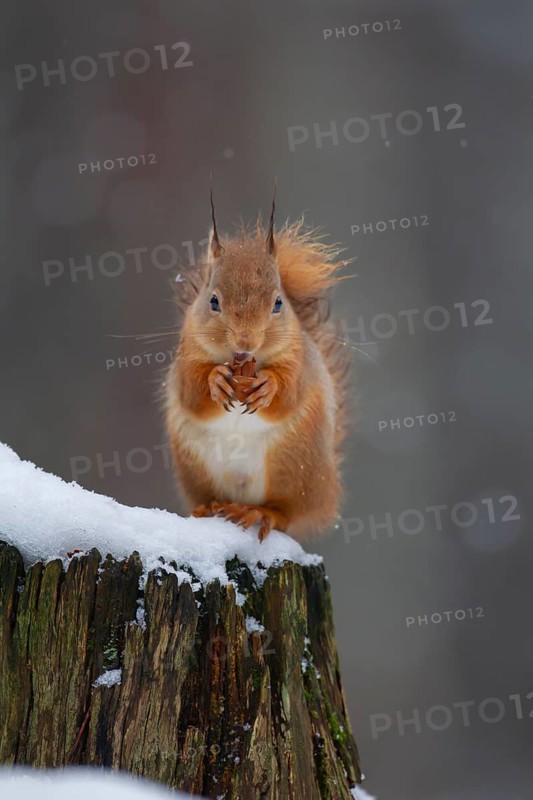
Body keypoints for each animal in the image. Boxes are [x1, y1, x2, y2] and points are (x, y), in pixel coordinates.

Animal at [165, 191, 352, 542]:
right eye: (213, 301)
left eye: (278, 303)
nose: (246, 341)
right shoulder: (186, 357)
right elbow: (192, 392)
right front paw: (216, 379)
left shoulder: (299, 362)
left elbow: (289, 393)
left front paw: (268, 386)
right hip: (198, 470)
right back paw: (209, 508)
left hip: (291, 468)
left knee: (286, 513)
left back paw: (259, 513)